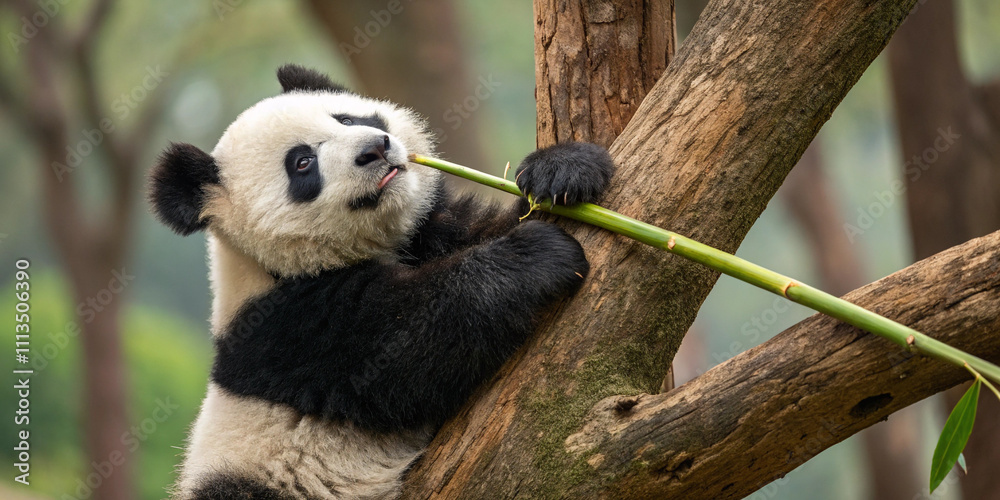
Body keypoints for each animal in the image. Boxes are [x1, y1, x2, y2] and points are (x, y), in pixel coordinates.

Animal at [148, 64, 614, 499]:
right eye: (302, 163)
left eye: (347, 119)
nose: (375, 148)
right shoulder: (292, 327)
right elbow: (408, 345)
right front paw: (535, 255)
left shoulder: (427, 232)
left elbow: (486, 224)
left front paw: (563, 171)